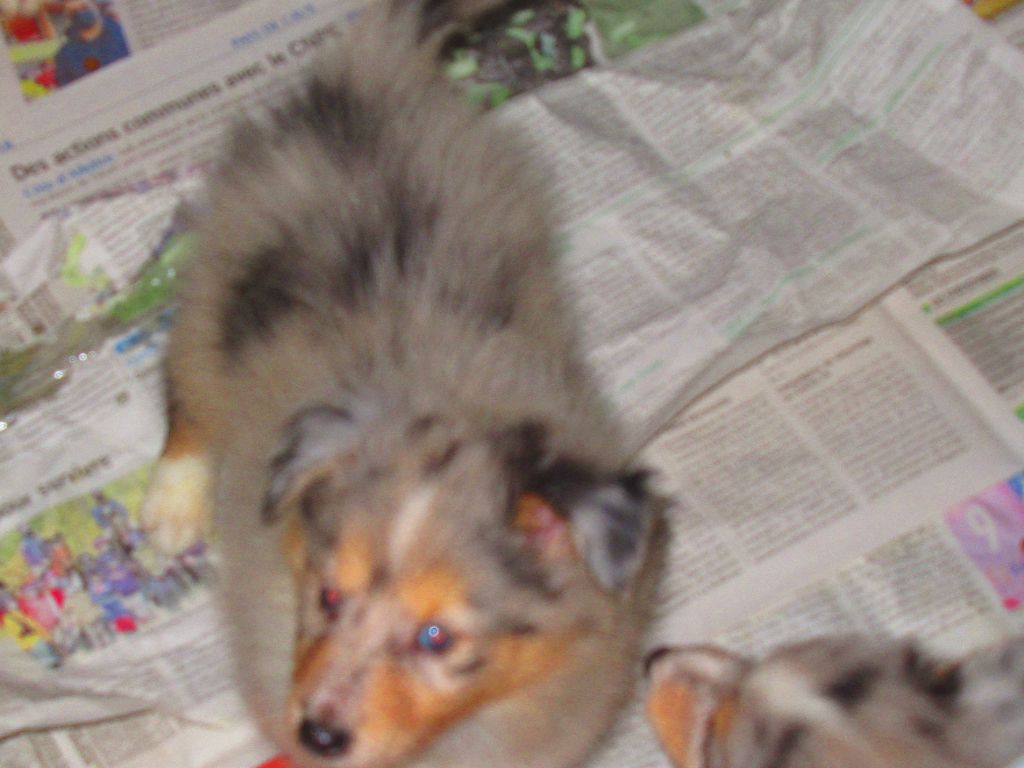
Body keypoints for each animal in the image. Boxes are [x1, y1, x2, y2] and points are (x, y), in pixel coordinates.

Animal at [140, 1, 661, 766]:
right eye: (327, 597)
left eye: (436, 639)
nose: (318, 735)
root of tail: (367, 77)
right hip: (221, 281)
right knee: (189, 386)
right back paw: (171, 506)